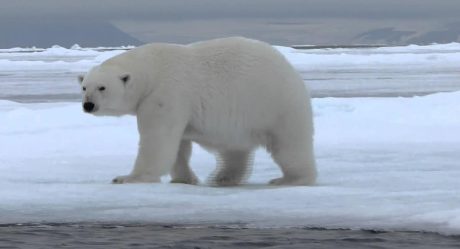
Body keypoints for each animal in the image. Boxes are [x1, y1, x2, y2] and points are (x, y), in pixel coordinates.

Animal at [79, 36, 316, 185]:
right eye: (84, 87)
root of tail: (293, 72)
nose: (88, 105)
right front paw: (184, 178)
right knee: (233, 149)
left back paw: (291, 179)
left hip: (277, 105)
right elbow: (179, 145)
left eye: (102, 87)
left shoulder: (166, 94)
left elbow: (158, 139)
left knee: (289, 146)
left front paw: (127, 177)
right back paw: (222, 177)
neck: (151, 70)